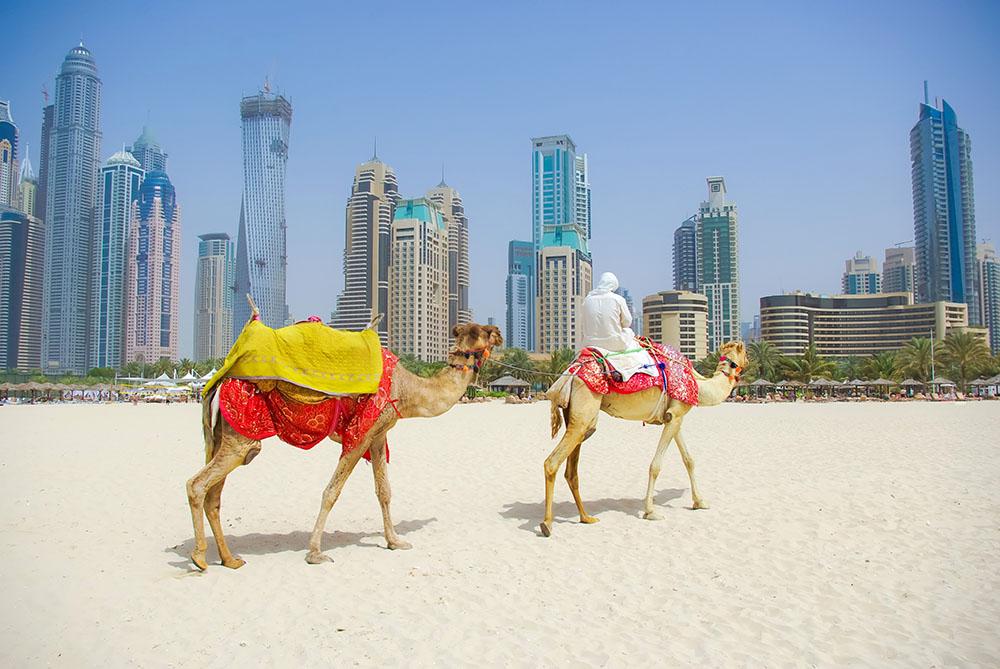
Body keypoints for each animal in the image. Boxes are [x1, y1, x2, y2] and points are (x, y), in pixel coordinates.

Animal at [185, 322, 502, 570]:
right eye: (485, 331)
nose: (499, 333)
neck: (406, 389)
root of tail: (216, 384)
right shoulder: (359, 433)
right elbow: (331, 492)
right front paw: (315, 553)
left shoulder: (379, 433)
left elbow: (384, 491)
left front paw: (395, 541)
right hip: (241, 435)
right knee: (197, 484)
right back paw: (200, 558)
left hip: (224, 437)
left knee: (214, 497)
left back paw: (230, 559)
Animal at [540, 340, 747, 536]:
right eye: (745, 352)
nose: (748, 361)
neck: (699, 385)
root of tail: (571, 372)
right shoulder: (676, 414)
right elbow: (656, 466)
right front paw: (651, 512)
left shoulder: (674, 417)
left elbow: (688, 460)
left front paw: (700, 502)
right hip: (585, 412)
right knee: (552, 462)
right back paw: (547, 524)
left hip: (577, 417)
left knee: (571, 471)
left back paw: (586, 517)